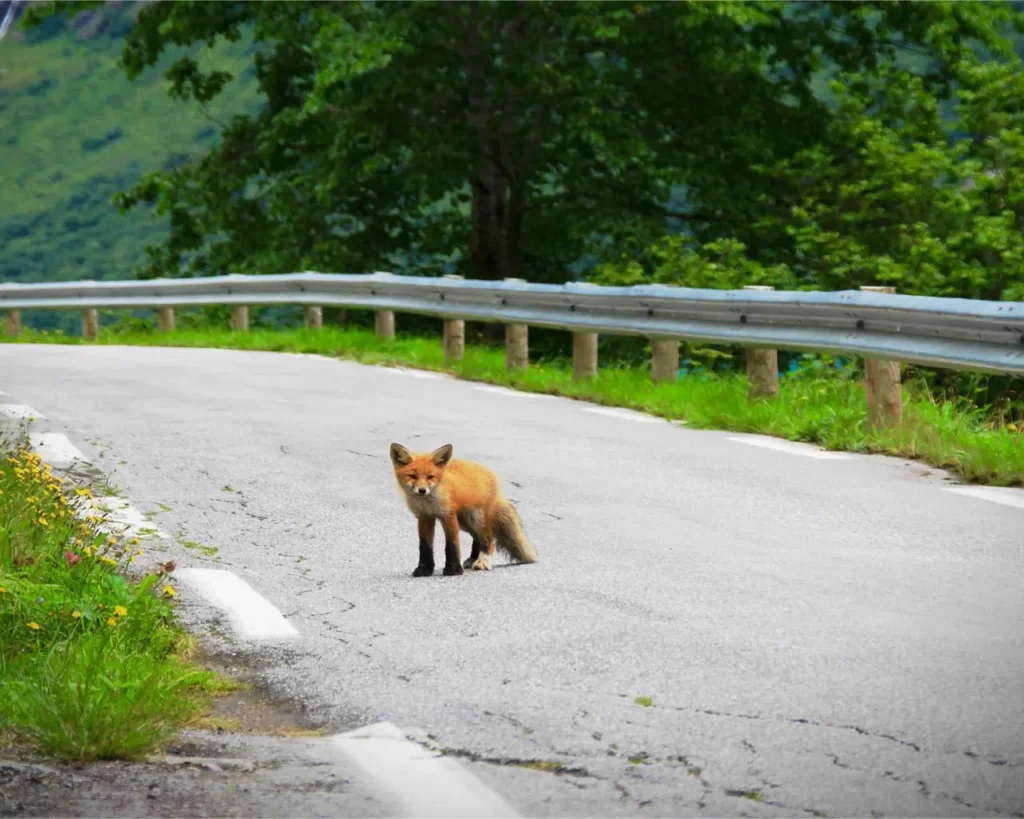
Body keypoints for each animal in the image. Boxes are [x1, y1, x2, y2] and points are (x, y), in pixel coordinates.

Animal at [387, 442, 540, 577]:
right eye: (413, 476)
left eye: (430, 477)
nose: (422, 490)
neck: (429, 502)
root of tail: (490, 474)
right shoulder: (425, 517)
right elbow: (425, 547)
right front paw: (424, 569)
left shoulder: (448, 515)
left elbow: (452, 545)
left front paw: (453, 569)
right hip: (464, 522)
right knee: (477, 539)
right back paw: (473, 559)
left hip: (476, 519)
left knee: (488, 538)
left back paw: (483, 561)